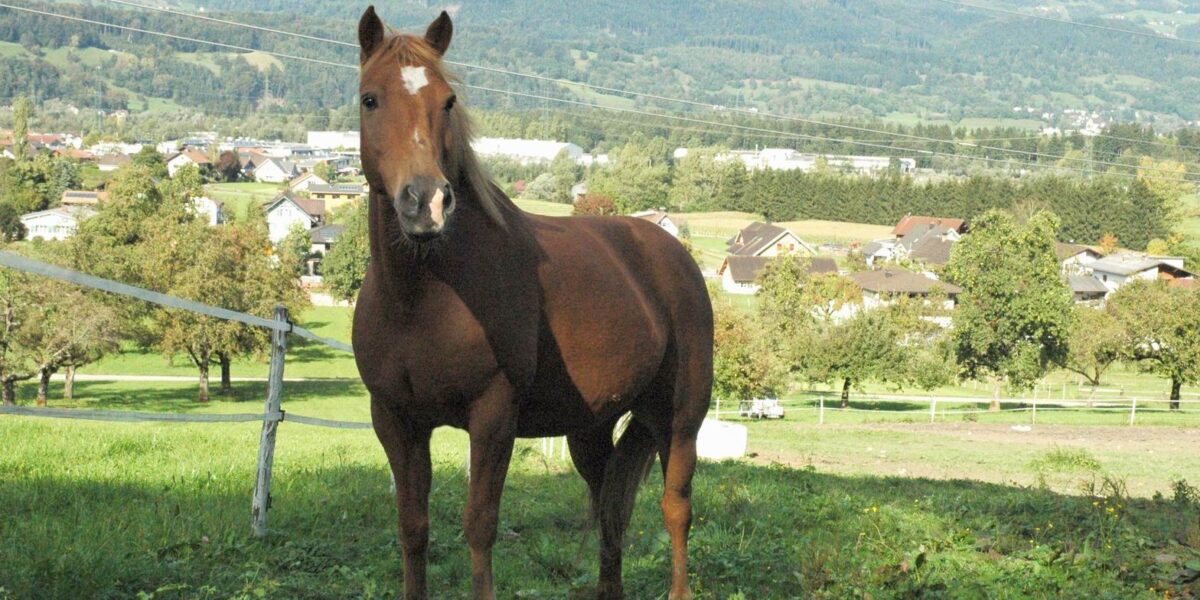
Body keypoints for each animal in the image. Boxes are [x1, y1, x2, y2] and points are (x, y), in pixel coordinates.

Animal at [350, 7, 713, 599]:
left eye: (447, 101)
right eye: (370, 99)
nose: (426, 202)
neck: (421, 299)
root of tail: (673, 255)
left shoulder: (492, 417)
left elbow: (479, 526)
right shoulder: (396, 420)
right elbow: (412, 527)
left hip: (679, 420)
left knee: (675, 509)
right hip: (590, 428)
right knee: (610, 509)